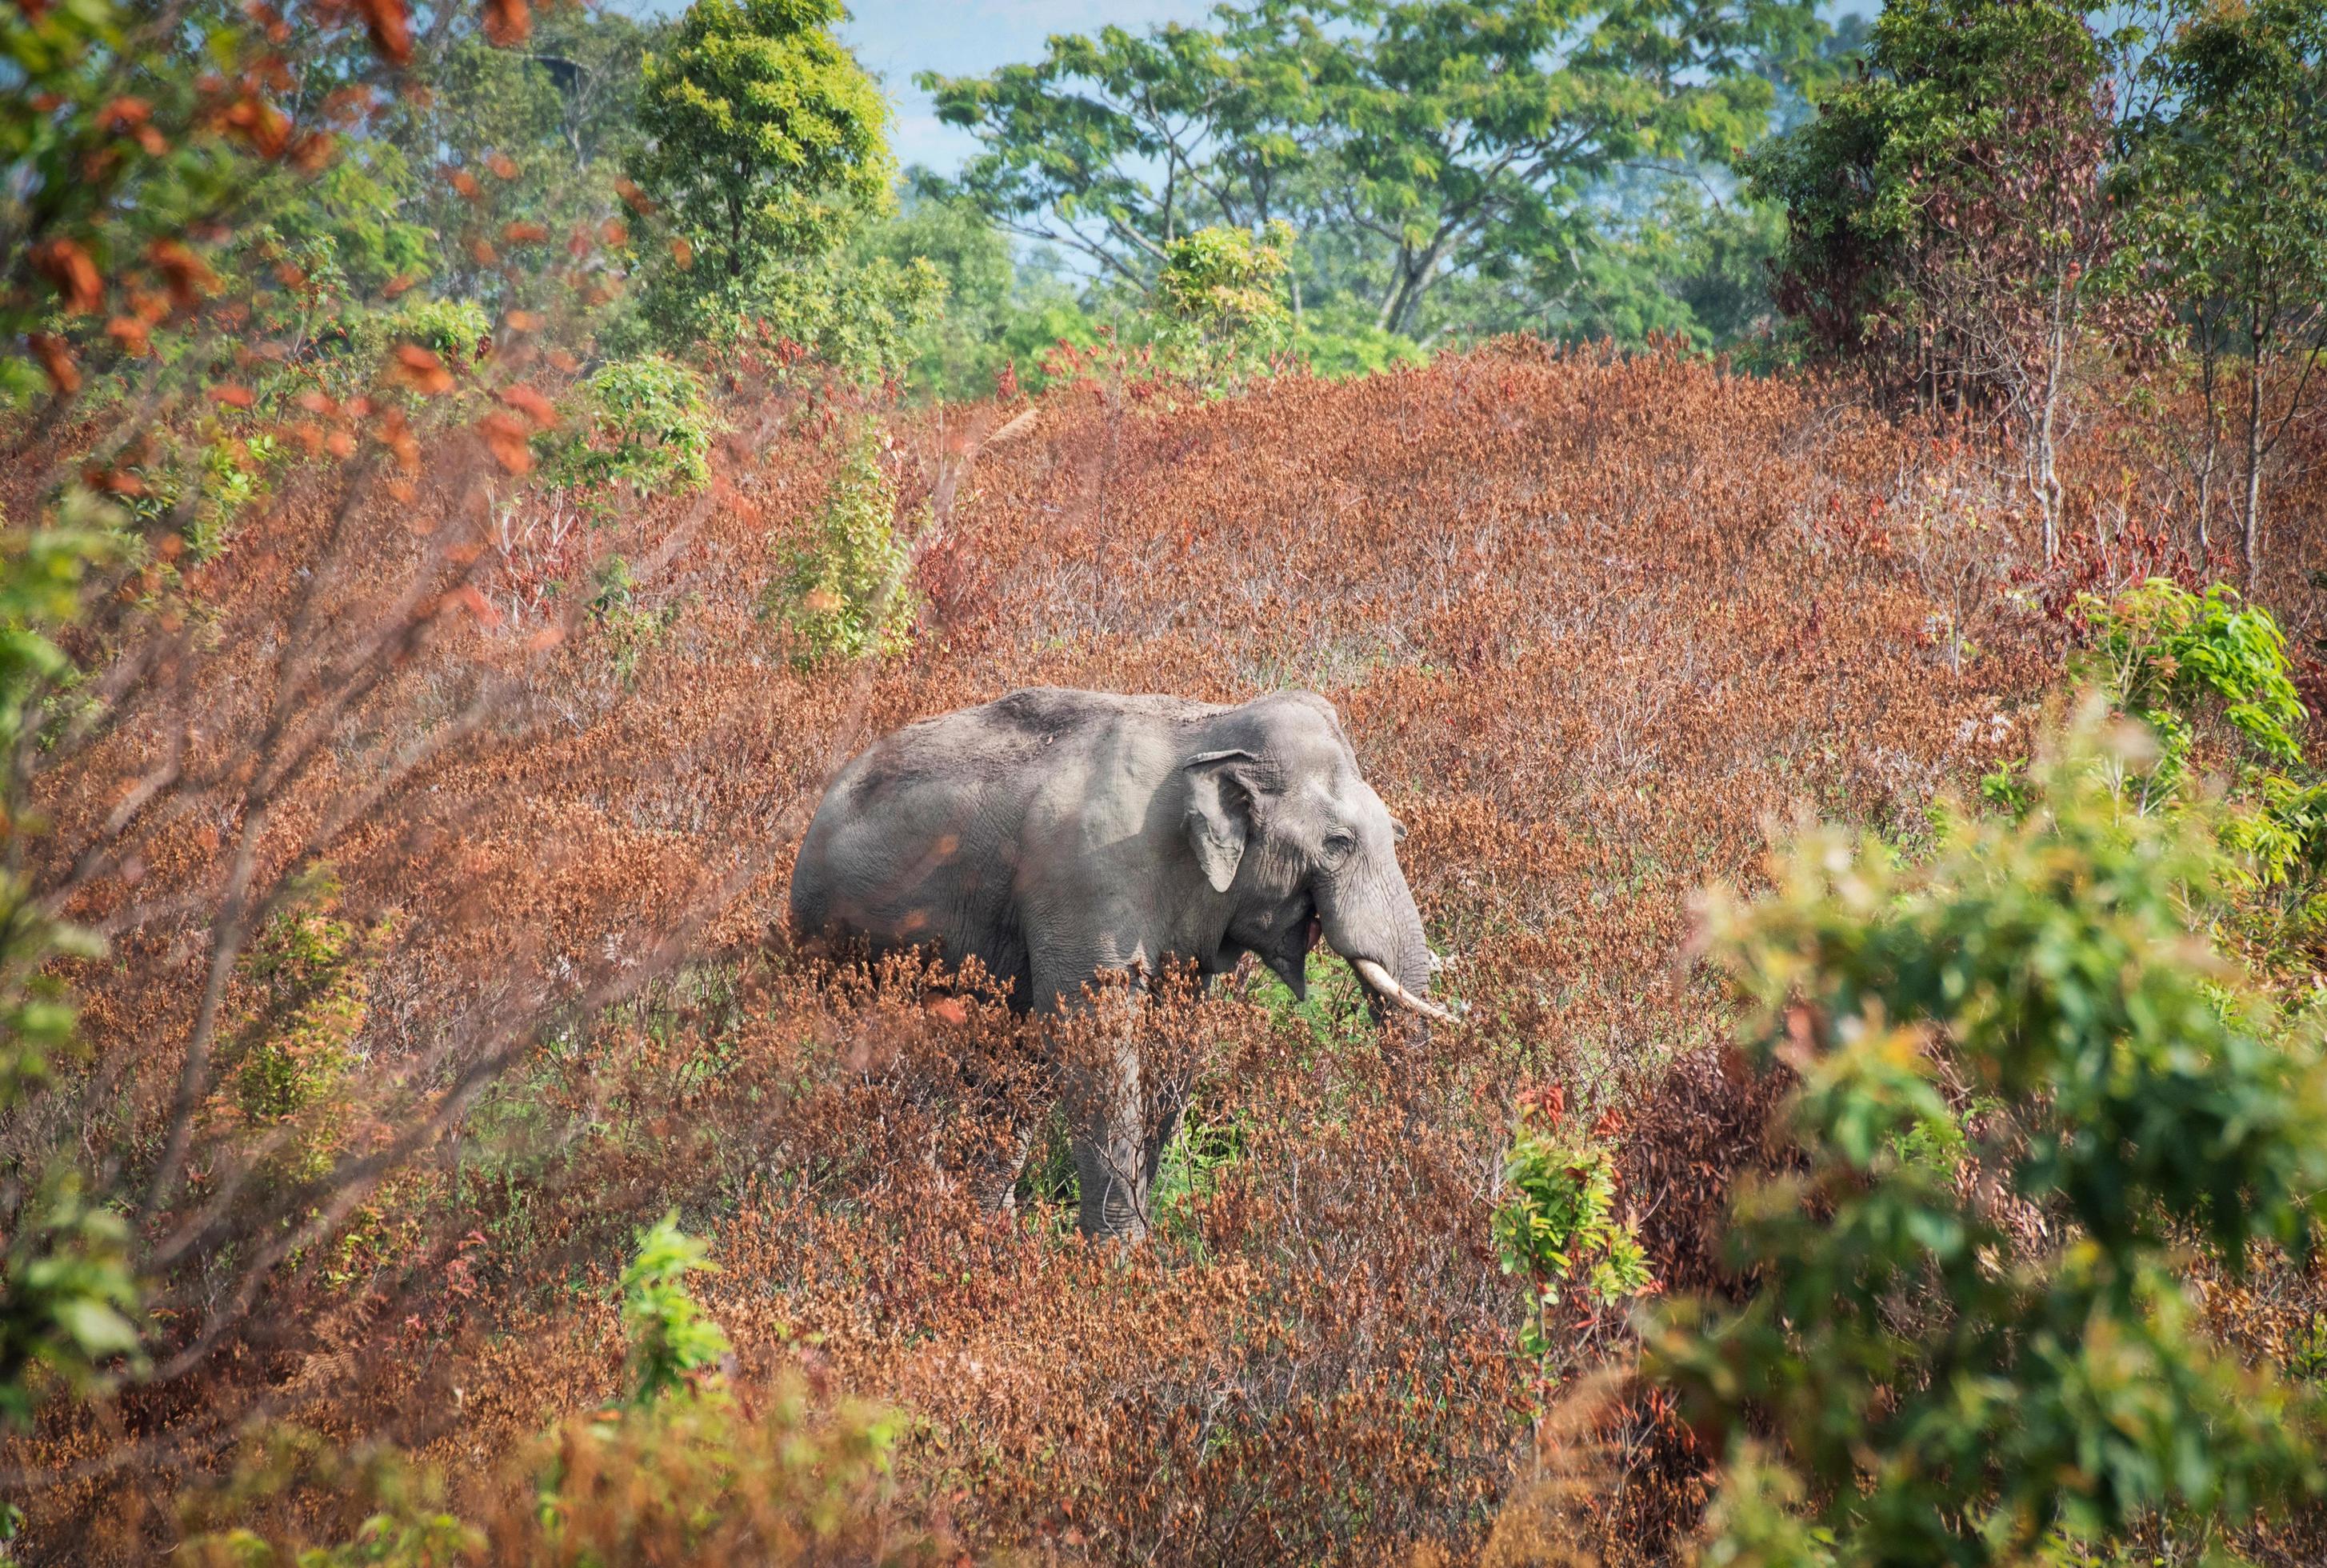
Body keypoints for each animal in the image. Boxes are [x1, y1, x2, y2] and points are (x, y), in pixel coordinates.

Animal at [791, 683, 1442, 1238]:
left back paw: (983, 1231)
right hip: (841, 949)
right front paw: (1116, 1261)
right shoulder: (1088, 881)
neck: (1212, 727)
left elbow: (1173, 1045)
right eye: (1339, 843)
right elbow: (1096, 1041)